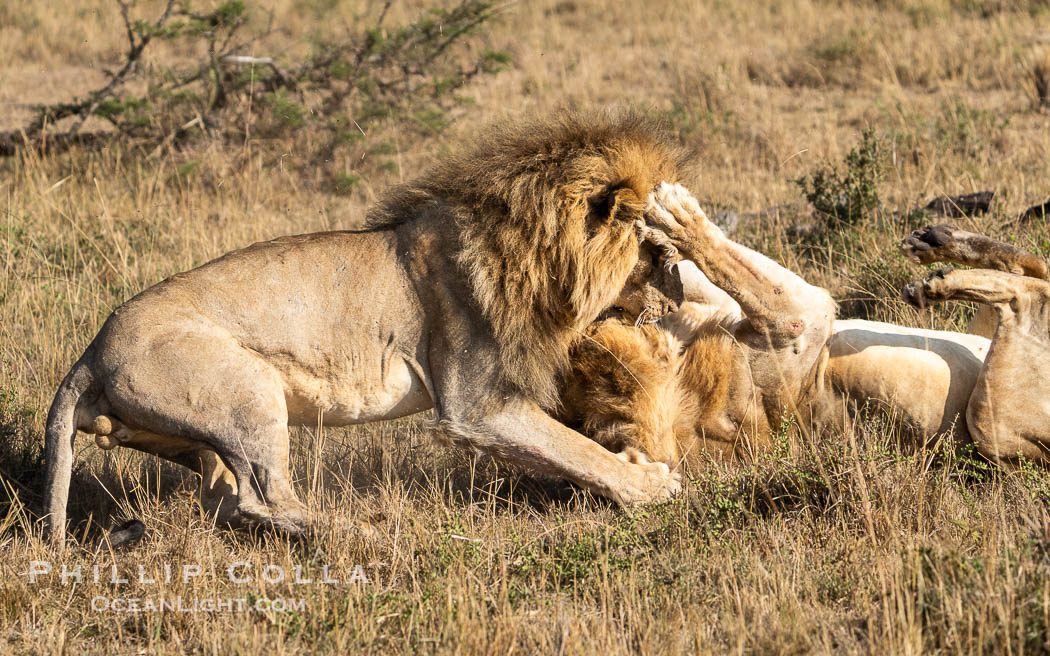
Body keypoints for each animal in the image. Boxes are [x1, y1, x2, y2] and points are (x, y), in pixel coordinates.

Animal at [42, 112, 692, 542]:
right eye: (656, 249)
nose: (683, 292)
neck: (537, 262)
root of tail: (90, 353)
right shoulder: (476, 406)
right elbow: (575, 449)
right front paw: (653, 487)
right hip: (250, 386)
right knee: (264, 499)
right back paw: (355, 529)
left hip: (197, 433)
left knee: (227, 499)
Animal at [562, 184, 1050, 471]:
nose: (585, 325)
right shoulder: (801, 318)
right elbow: (733, 265)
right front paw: (674, 218)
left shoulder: (723, 307)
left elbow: (709, 274)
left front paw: (648, 237)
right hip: (989, 422)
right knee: (1029, 294)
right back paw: (935, 283)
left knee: (1032, 266)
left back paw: (936, 243)